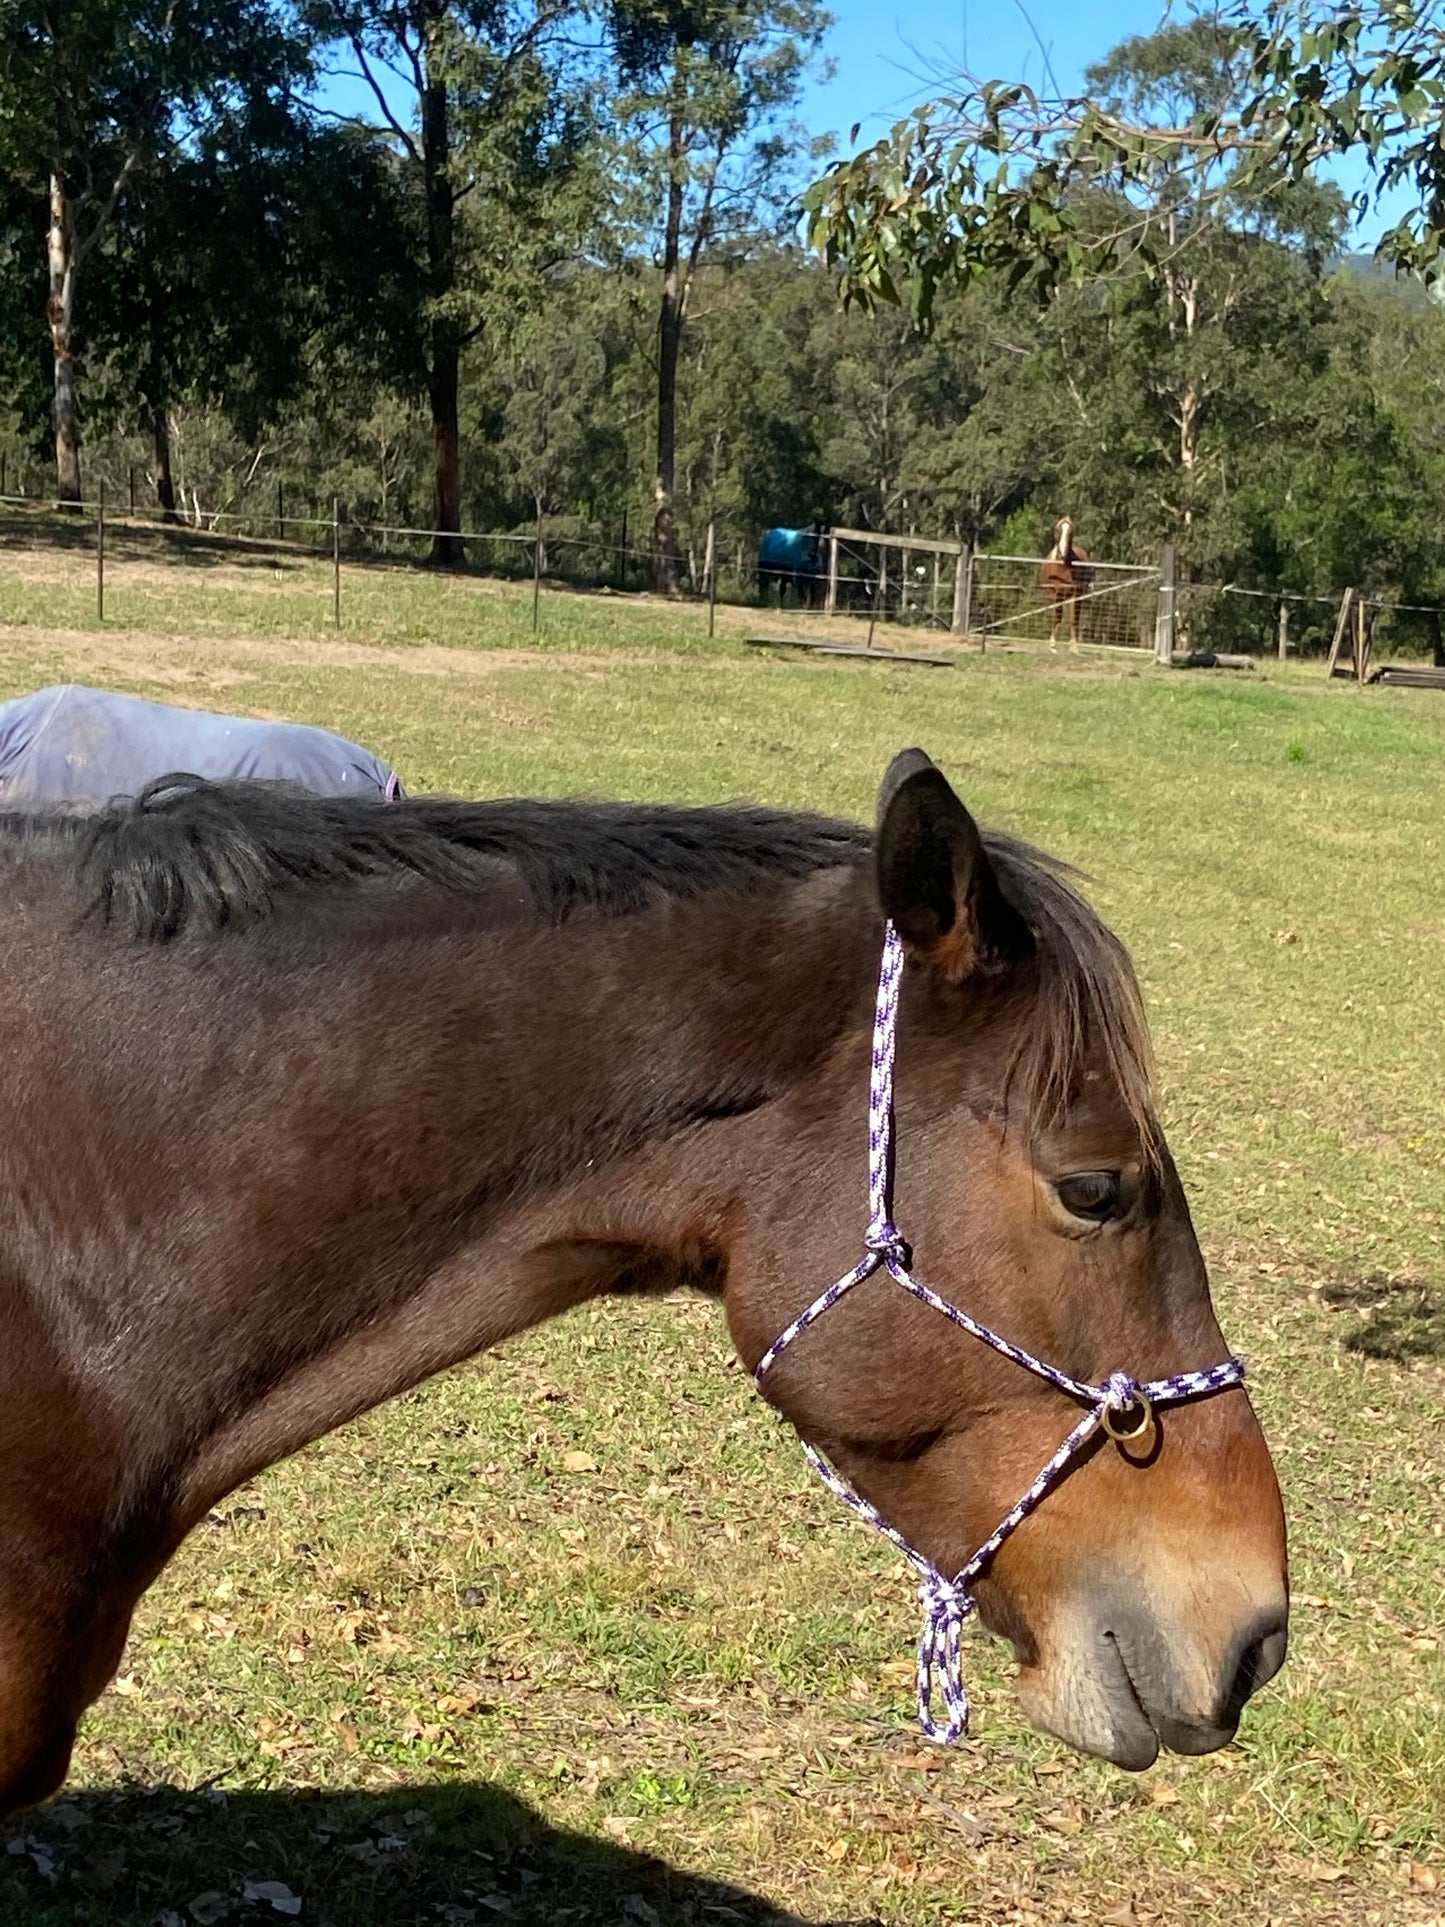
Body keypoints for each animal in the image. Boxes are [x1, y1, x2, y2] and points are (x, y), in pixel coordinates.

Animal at [1040, 512, 1094, 647]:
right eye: (1057, 529)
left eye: (1071, 531)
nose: (1062, 554)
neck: (1062, 567)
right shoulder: (1053, 594)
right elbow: (1056, 617)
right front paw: (1052, 643)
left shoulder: (1075, 594)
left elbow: (1072, 618)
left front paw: (1073, 645)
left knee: (1075, 617)